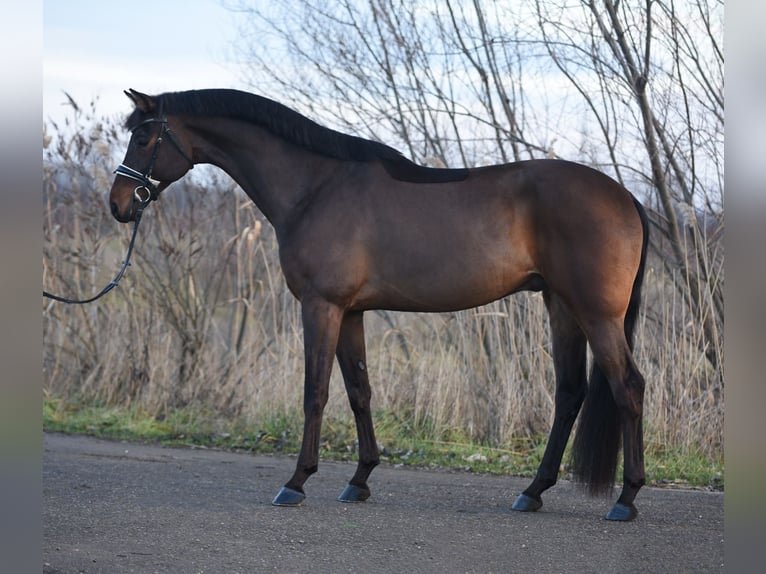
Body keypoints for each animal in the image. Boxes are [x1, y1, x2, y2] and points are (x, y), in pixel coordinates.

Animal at [109, 89, 648, 520]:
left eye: (144, 138)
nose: (118, 204)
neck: (315, 187)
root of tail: (626, 198)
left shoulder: (321, 306)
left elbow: (315, 392)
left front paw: (296, 482)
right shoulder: (350, 312)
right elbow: (359, 391)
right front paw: (360, 479)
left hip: (596, 314)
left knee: (628, 387)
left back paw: (626, 499)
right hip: (561, 307)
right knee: (570, 393)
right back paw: (533, 492)